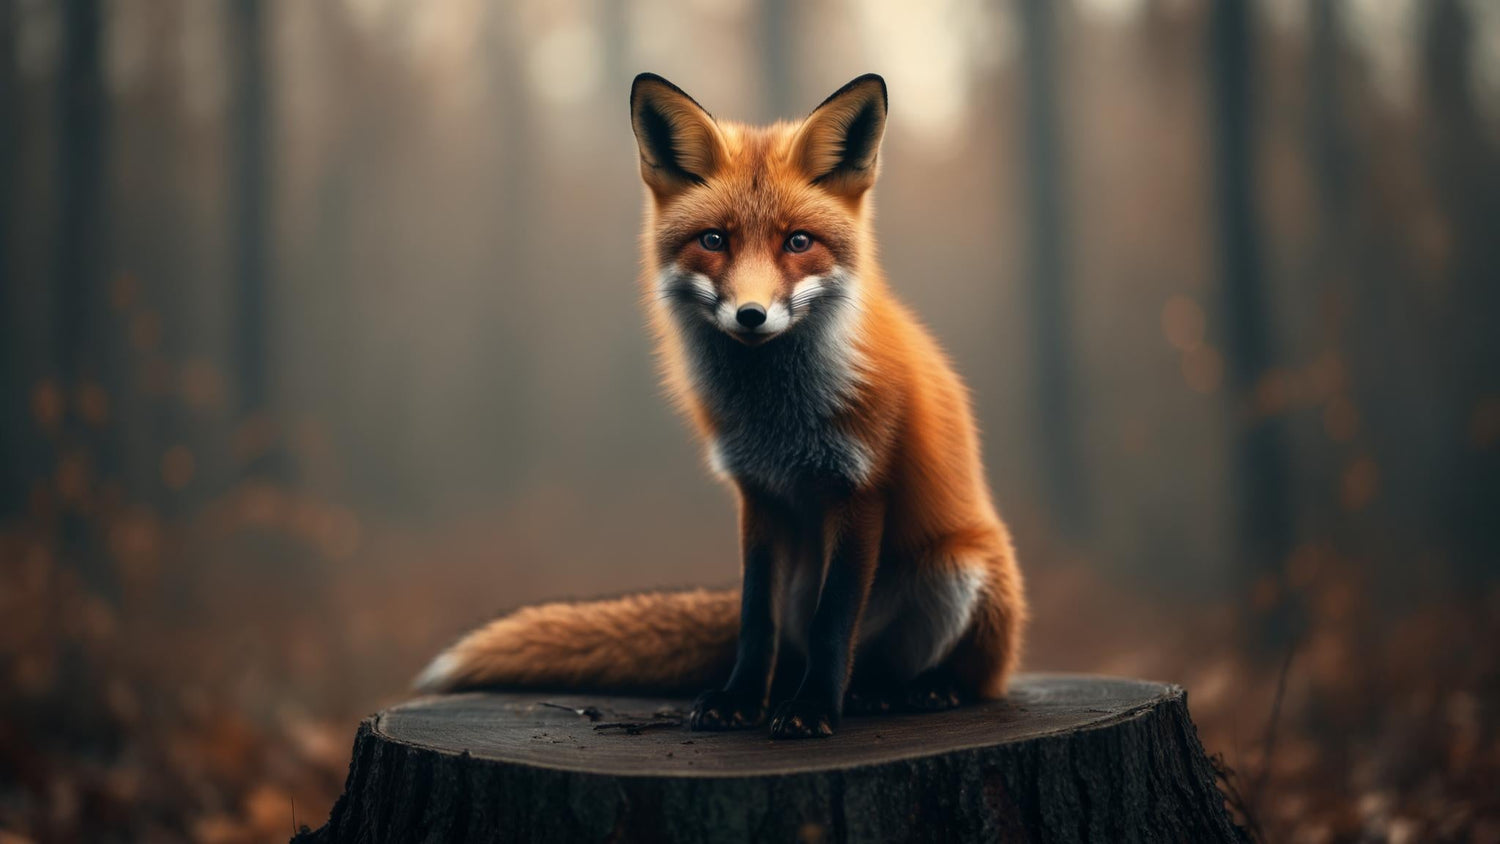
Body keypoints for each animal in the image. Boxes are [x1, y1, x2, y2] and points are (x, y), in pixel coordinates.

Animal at [415, 73, 1026, 739]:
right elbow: (754, 618)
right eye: (714, 240)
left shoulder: (861, 489)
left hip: (958, 571)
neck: (778, 422)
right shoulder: (757, 492)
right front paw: (741, 699)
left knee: (947, 674)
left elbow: (833, 621)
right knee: (800, 646)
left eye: (798, 242)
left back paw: (910, 690)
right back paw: (833, 690)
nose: (751, 315)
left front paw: (813, 709)